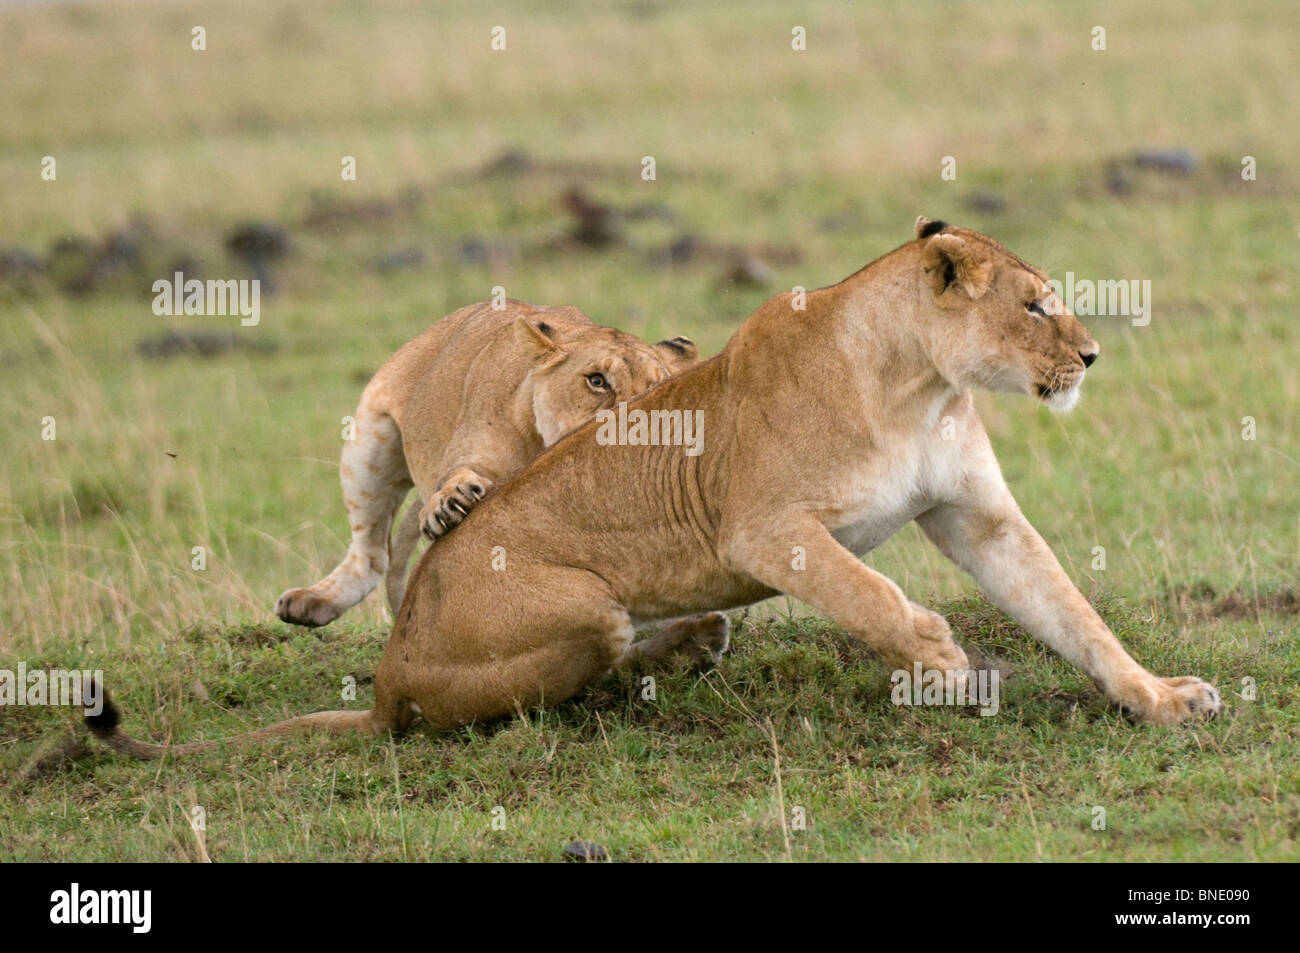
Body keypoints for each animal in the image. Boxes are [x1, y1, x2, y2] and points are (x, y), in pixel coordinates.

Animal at [274, 299, 699, 628]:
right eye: (597, 381)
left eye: (659, 385)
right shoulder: (473, 452)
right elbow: (458, 479)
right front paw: (449, 506)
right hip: (368, 439)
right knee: (371, 554)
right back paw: (310, 603)